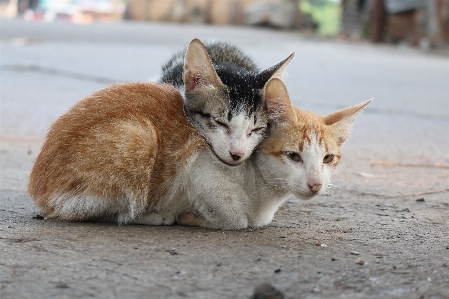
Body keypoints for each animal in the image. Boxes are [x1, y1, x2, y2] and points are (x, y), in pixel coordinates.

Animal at [28, 79, 372, 230]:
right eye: (294, 156)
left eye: (327, 159)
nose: (316, 184)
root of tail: (38, 186)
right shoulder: (199, 168)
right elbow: (238, 220)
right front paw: (197, 217)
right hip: (138, 134)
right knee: (77, 209)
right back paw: (150, 215)